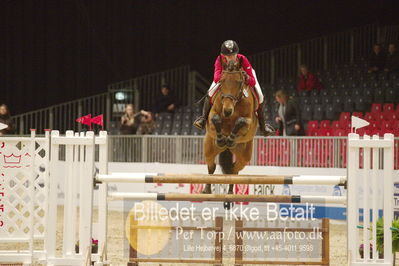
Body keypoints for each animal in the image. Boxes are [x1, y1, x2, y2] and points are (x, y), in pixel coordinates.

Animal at [203, 57, 260, 195]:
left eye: (239, 82)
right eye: (222, 81)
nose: (227, 111)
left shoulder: (249, 122)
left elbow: (241, 121)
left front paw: (230, 139)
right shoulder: (212, 114)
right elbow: (215, 118)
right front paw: (221, 139)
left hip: (244, 156)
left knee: (234, 170)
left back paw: (229, 191)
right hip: (209, 148)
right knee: (211, 167)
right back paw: (207, 189)